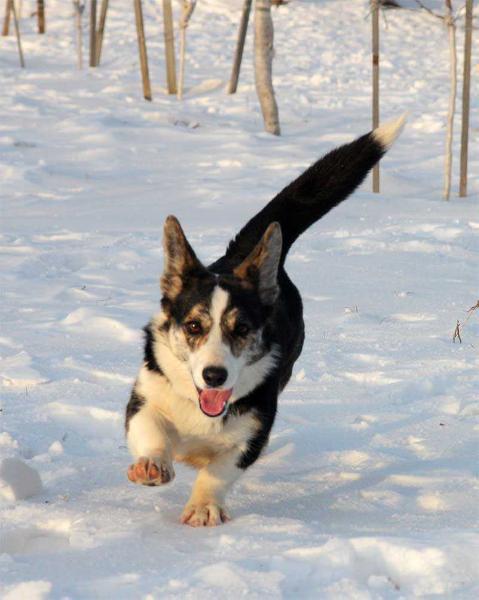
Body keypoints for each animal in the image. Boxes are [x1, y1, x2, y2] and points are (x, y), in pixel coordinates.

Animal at [124, 115, 404, 528]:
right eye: (193, 326)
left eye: (241, 329)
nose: (214, 376)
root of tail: (239, 255)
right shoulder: (145, 398)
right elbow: (151, 430)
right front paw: (152, 466)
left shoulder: (252, 433)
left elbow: (219, 471)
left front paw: (204, 506)